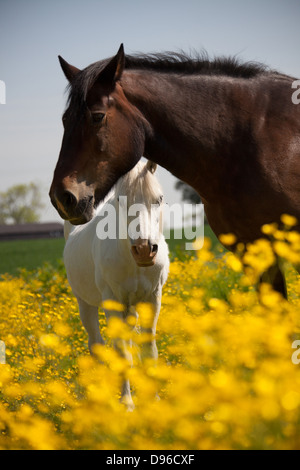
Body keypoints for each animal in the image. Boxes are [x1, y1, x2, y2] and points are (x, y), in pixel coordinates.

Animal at [63, 159, 169, 408]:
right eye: (121, 200)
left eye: (158, 199)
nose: (144, 249)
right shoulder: (112, 300)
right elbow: (121, 353)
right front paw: (127, 403)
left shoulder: (152, 298)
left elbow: (148, 351)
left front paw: (154, 401)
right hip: (85, 304)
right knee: (96, 344)